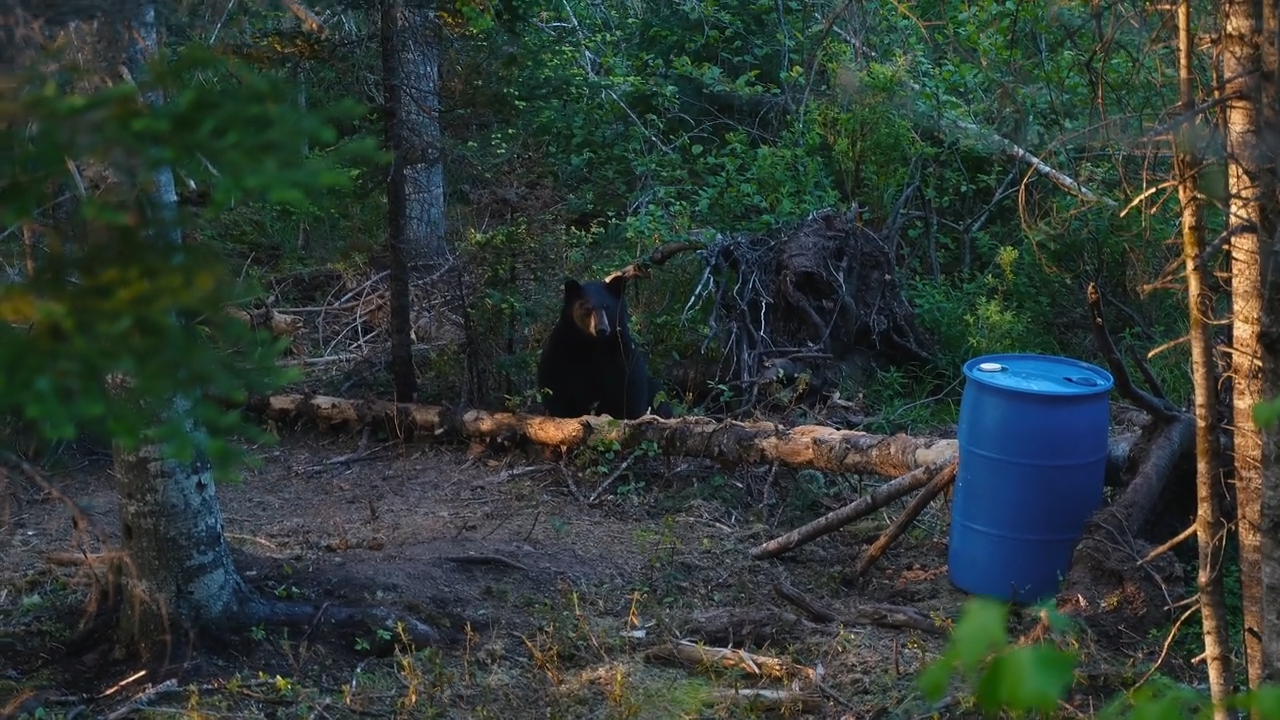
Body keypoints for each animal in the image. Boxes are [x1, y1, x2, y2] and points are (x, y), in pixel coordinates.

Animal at [535, 274, 670, 420]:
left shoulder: (621, 354)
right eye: (587, 308)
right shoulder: (562, 348)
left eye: (607, 306)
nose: (601, 329)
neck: (593, 345)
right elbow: (554, 385)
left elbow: (629, 392)